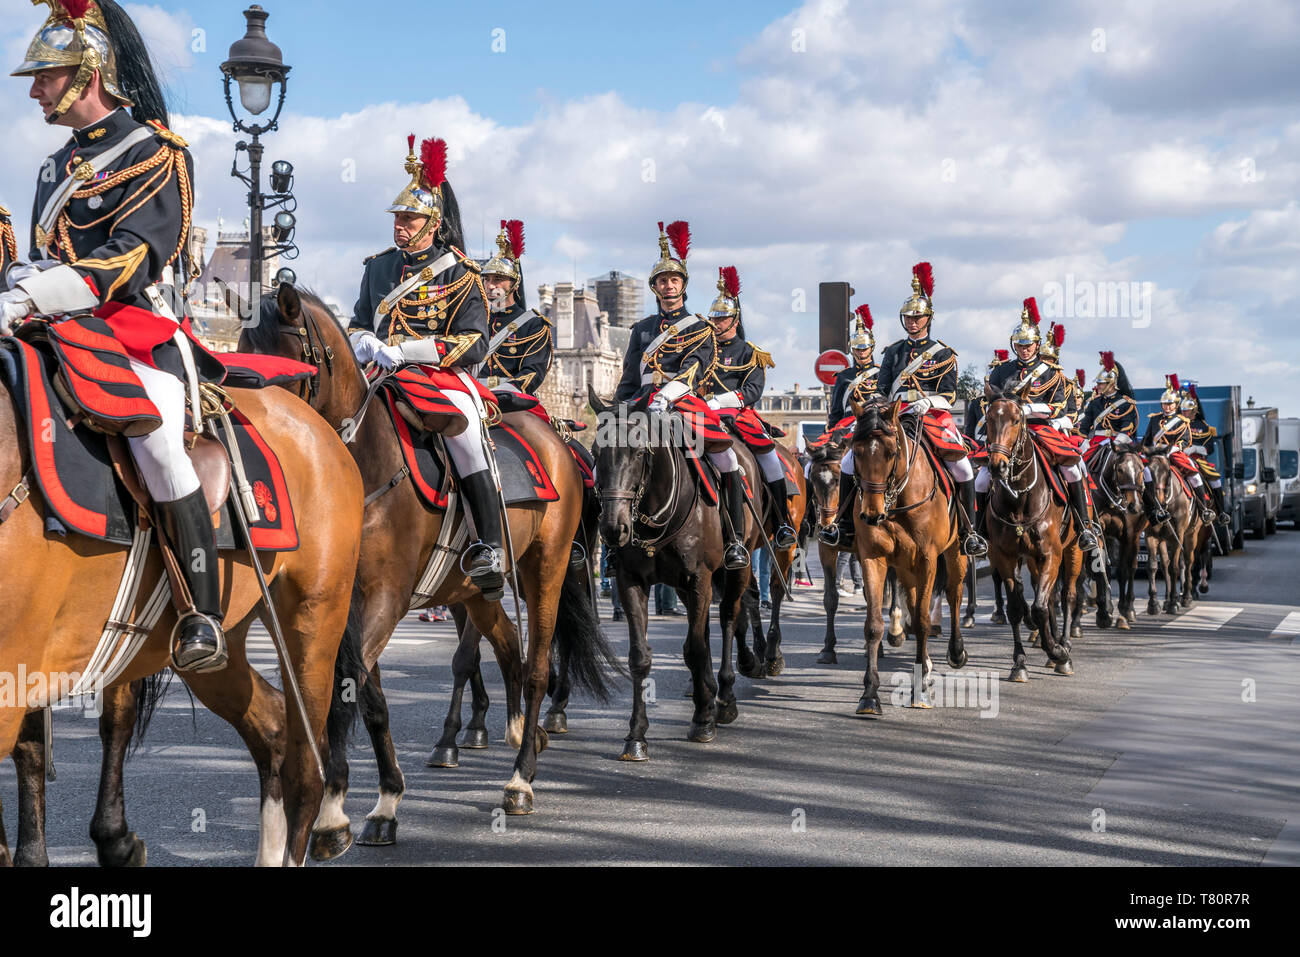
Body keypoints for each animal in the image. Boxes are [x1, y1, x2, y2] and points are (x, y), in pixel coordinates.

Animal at [240, 283, 618, 842]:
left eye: (284, 362)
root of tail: (554, 437)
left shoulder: (386, 599)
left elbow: (344, 692)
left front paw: (331, 810)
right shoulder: (347, 607)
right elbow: (367, 698)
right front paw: (379, 801)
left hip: (544, 570)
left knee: (537, 665)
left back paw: (521, 777)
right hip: (475, 591)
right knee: (509, 648)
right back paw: (516, 735)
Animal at [592, 387, 759, 754]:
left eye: (639, 451)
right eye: (596, 451)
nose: (613, 528)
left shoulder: (700, 580)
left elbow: (696, 648)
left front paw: (704, 720)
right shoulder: (631, 581)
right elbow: (641, 657)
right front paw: (636, 736)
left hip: (735, 570)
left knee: (729, 619)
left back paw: (724, 698)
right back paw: (707, 694)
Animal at [842, 392, 967, 712]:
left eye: (890, 452)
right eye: (856, 451)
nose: (871, 515)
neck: (896, 501)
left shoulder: (927, 560)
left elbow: (923, 621)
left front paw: (919, 688)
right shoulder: (873, 558)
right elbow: (874, 625)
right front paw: (870, 694)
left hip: (954, 554)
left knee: (954, 594)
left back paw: (955, 652)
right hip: (905, 566)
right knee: (911, 599)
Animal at [982, 390, 1076, 681]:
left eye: (1016, 420)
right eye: (989, 419)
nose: (998, 467)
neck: (1019, 499)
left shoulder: (1051, 554)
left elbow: (1040, 606)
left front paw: (1057, 652)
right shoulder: (1004, 556)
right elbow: (1017, 606)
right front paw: (1020, 662)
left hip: (1073, 549)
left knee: (1067, 595)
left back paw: (1063, 646)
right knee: (1049, 597)